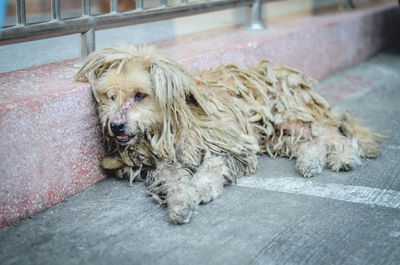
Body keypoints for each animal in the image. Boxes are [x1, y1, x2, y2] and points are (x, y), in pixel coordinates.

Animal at [73, 45, 386, 223]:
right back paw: (310, 162)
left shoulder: (228, 146)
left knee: (332, 136)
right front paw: (181, 203)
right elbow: (175, 182)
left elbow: (212, 168)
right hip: (277, 132)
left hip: (289, 116)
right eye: (109, 96)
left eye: (140, 95)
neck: (175, 124)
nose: (116, 126)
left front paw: (201, 188)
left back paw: (344, 157)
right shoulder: (165, 164)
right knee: (311, 143)